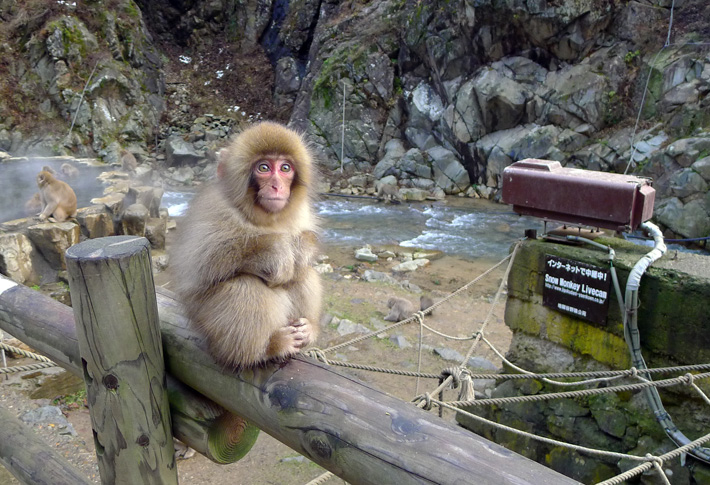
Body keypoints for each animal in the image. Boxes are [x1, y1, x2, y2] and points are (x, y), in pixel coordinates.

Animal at [171, 121, 322, 366]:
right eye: (264, 168)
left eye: (285, 168)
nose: (277, 186)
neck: (266, 218)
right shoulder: (214, 208)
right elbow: (199, 266)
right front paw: (275, 252)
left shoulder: (301, 213)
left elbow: (304, 242)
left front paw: (302, 247)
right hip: (210, 327)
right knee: (245, 285)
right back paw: (267, 348)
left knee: (303, 273)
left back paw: (307, 328)